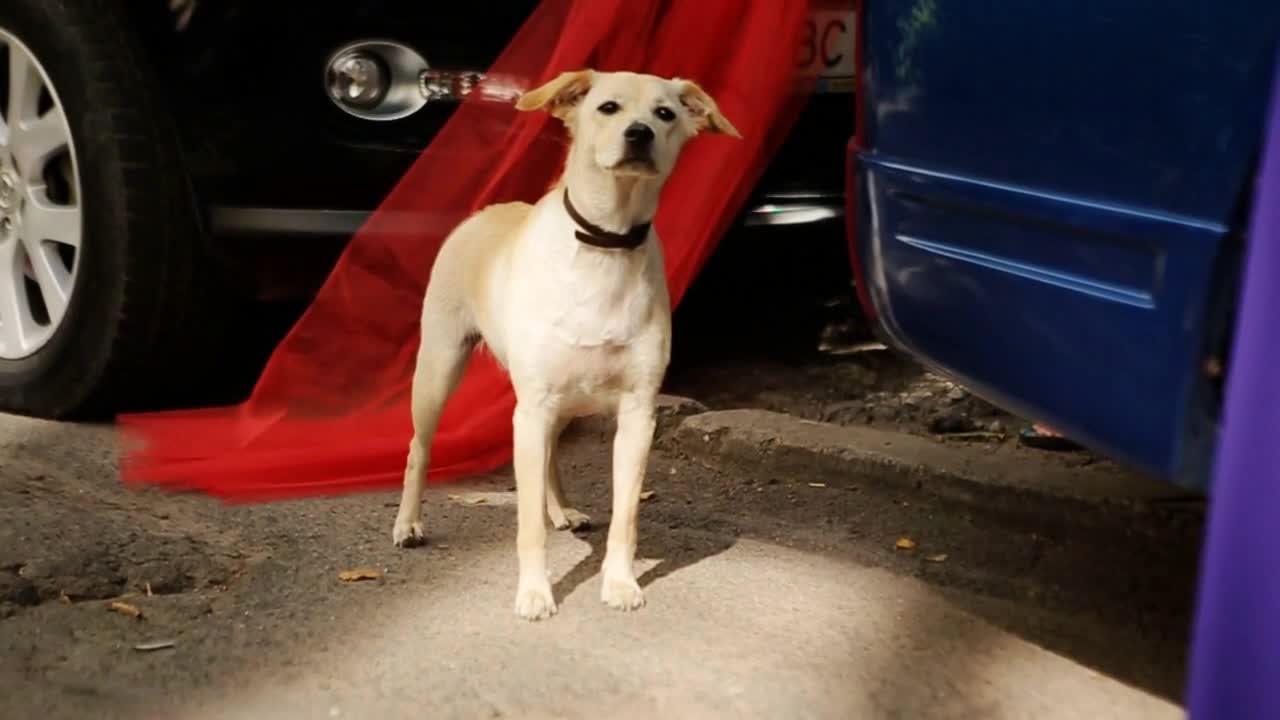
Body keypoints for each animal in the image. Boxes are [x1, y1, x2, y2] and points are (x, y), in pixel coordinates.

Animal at [389, 68, 742, 617]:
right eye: (608, 107)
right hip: (439, 369)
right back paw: (408, 523)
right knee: (418, 448)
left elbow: (625, 518)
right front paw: (535, 593)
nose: (639, 133)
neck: (604, 241)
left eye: (664, 113)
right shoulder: (531, 409)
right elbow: (527, 526)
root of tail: (484, 211)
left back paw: (563, 509)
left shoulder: (637, 415)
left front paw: (619, 582)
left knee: (551, 455)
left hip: (558, 403)